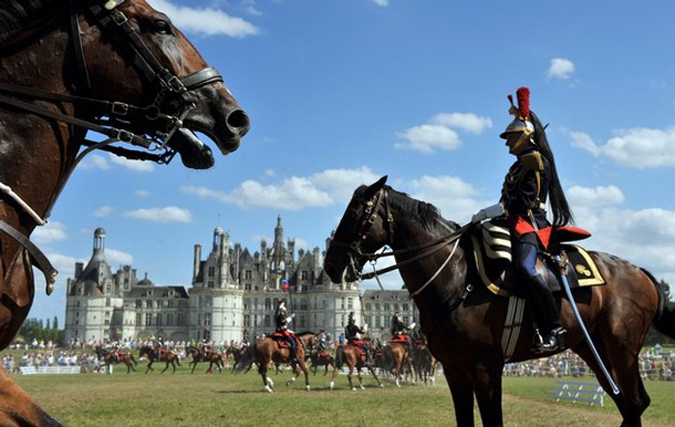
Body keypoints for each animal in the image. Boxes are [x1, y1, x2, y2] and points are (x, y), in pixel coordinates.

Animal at [322, 176, 675, 424]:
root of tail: (639, 271)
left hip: (622, 350)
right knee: (630, 404)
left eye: (357, 213)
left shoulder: (485, 369)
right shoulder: (455, 369)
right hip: (594, 350)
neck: (456, 278)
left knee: (634, 402)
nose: (331, 266)